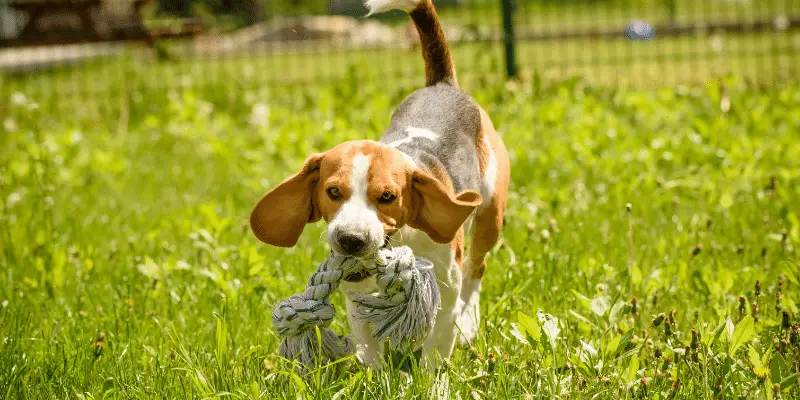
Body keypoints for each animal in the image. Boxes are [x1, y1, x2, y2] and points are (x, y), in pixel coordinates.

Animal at [253, 0, 510, 368]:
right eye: (333, 192)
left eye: (388, 197)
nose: (351, 240)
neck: (401, 240)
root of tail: (442, 86)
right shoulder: (356, 295)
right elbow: (369, 342)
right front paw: (376, 374)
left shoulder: (444, 287)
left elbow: (437, 344)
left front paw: (431, 377)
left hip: (491, 213)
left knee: (477, 269)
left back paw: (468, 323)